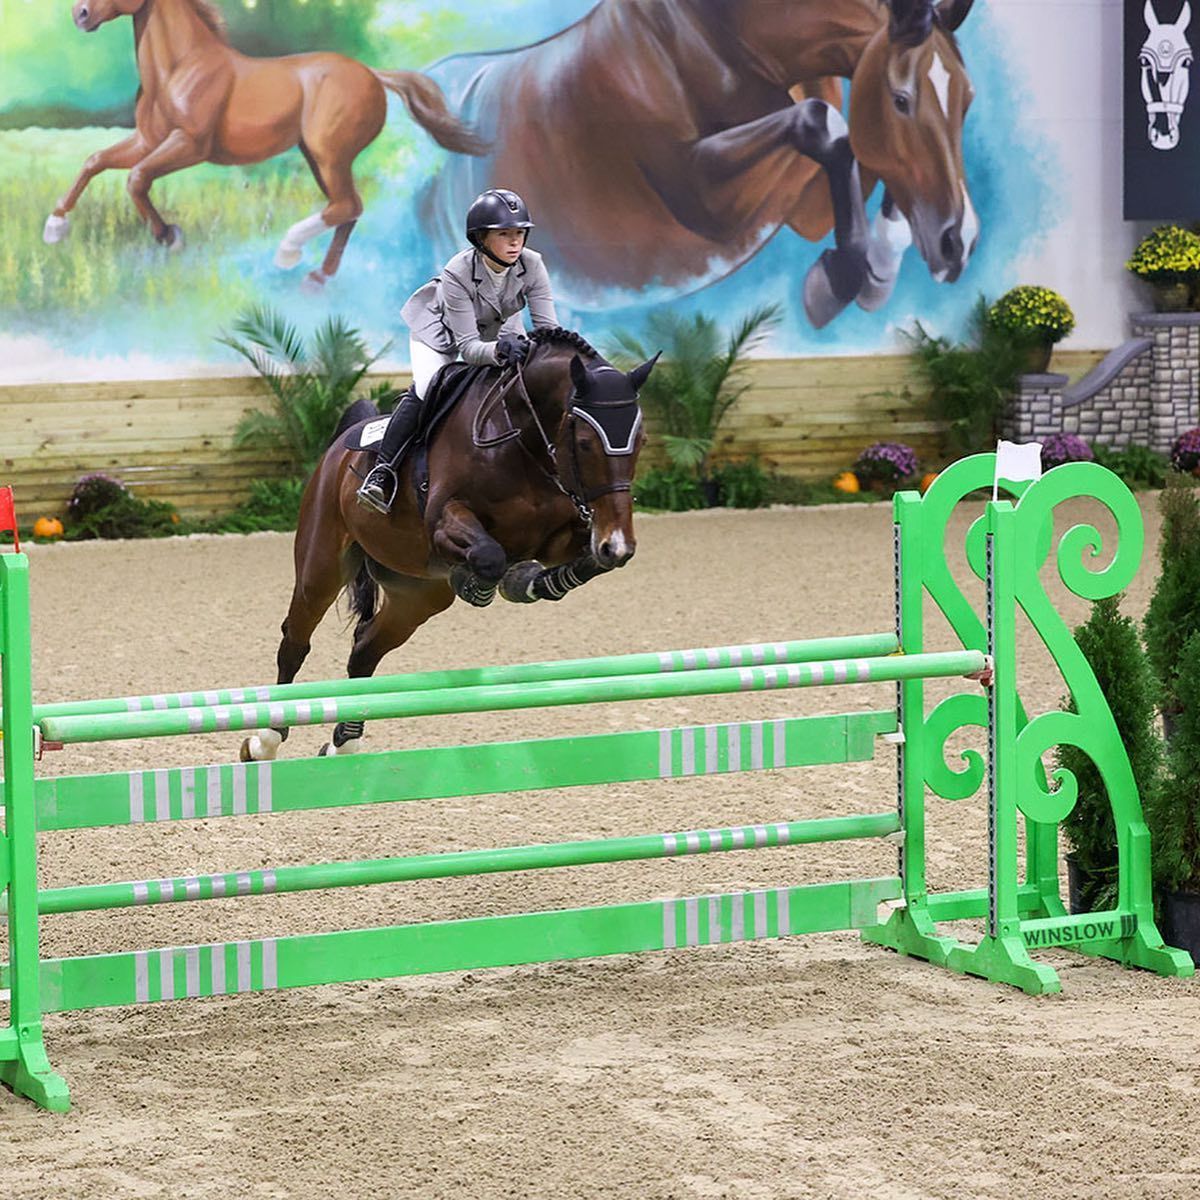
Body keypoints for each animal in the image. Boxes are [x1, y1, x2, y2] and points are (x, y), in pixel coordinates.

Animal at [44, 0, 487, 289]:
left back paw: (288, 253)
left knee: (346, 205)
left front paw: (170, 236)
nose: (79, 14)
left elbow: (136, 179)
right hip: (318, 158)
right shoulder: (146, 140)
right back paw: (317, 277)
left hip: (329, 155)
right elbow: (95, 161)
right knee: (347, 209)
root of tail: (374, 75)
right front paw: (55, 227)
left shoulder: (189, 145)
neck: (180, 69)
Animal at [240, 327, 658, 762]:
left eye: (642, 439)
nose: (619, 545)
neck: (521, 437)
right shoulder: (445, 521)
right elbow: (489, 556)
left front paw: (526, 582)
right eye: (587, 442)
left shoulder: (561, 537)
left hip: (416, 596)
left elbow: (586, 563)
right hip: (320, 568)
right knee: (295, 641)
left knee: (365, 650)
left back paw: (345, 743)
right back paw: (265, 741)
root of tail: (338, 449)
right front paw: (477, 584)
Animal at [420, 0, 977, 327]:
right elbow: (824, 124)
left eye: (968, 98)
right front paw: (838, 279)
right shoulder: (713, 205)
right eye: (902, 100)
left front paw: (875, 271)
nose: (959, 245)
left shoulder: (805, 206)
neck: (722, 41)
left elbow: (861, 154)